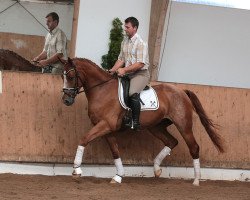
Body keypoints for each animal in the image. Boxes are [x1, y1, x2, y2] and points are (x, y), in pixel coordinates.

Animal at [61, 57, 225, 186]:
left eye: (71, 76)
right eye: (63, 76)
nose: (66, 100)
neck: (102, 89)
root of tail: (181, 91)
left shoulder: (106, 125)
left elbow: (84, 139)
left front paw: (76, 170)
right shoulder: (107, 128)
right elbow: (115, 151)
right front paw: (118, 176)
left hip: (183, 125)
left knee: (194, 147)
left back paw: (196, 180)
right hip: (156, 127)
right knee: (172, 141)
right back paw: (157, 169)